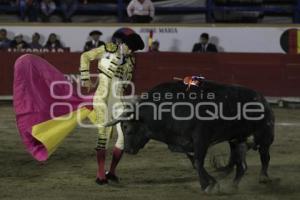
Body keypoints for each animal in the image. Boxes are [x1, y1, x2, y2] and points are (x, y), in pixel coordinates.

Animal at [105, 79, 274, 193]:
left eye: (127, 128)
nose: (128, 150)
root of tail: (262, 99)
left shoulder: (201, 139)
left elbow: (198, 162)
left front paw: (208, 185)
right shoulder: (183, 143)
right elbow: (195, 163)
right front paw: (210, 183)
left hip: (264, 135)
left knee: (265, 156)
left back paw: (264, 178)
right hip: (237, 140)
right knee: (241, 166)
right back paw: (233, 186)